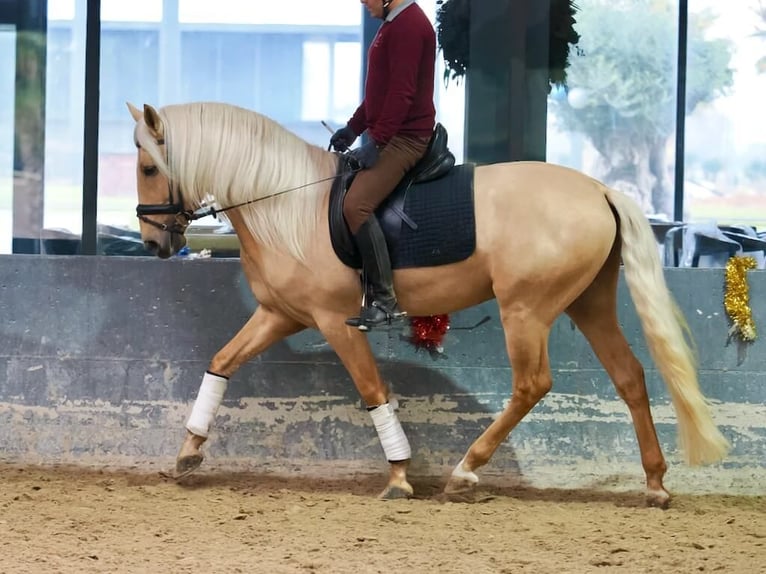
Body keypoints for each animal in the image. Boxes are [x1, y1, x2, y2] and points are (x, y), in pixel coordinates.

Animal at [129, 102, 728, 508]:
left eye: (150, 167)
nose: (153, 243)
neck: (286, 202)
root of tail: (599, 190)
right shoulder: (280, 314)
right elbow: (221, 362)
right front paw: (188, 452)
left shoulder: (335, 321)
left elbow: (373, 390)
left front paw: (398, 475)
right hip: (588, 303)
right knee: (629, 376)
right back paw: (655, 483)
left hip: (526, 310)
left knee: (532, 384)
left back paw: (465, 470)